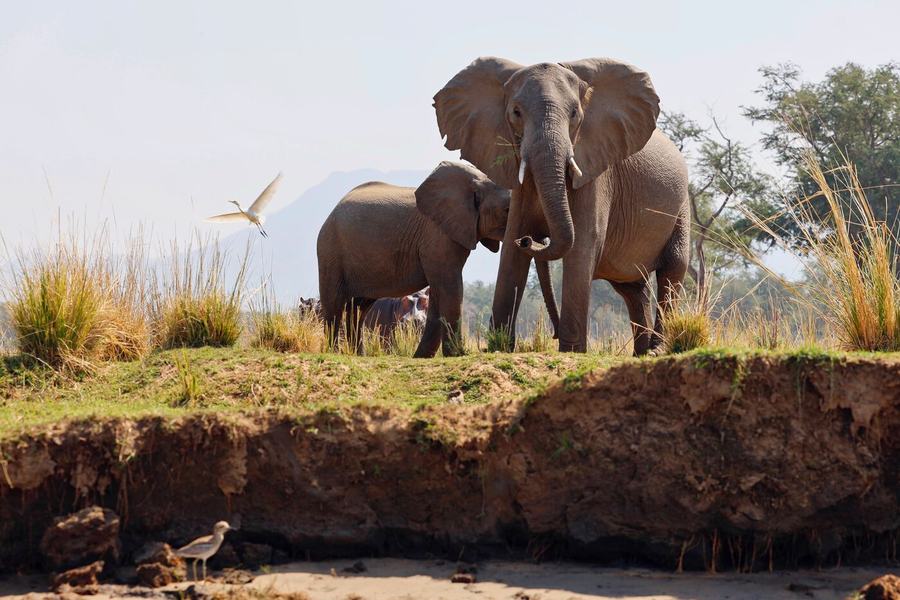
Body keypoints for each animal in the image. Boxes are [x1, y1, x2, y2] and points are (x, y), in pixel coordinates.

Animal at [316, 161, 560, 357]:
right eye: (508, 210)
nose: (526, 240)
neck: (476, 181)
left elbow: (438, 292)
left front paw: (422, 357)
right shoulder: (437, 235)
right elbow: (450, 287)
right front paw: (458, 355)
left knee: (359, 308)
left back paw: (359, 355)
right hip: (330, 250)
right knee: (335, 304)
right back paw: (334, 352)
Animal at [433, 57, 690, 354]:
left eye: (575, 114)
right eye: (516, 112)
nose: (530, 239)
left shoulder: (595, 172)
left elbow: (582, 244)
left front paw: (572, 350)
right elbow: (510, 247)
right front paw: (499, 347)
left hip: (682, 206)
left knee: (672, 270)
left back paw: (656, 350)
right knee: (633, 288)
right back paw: (641, 352)